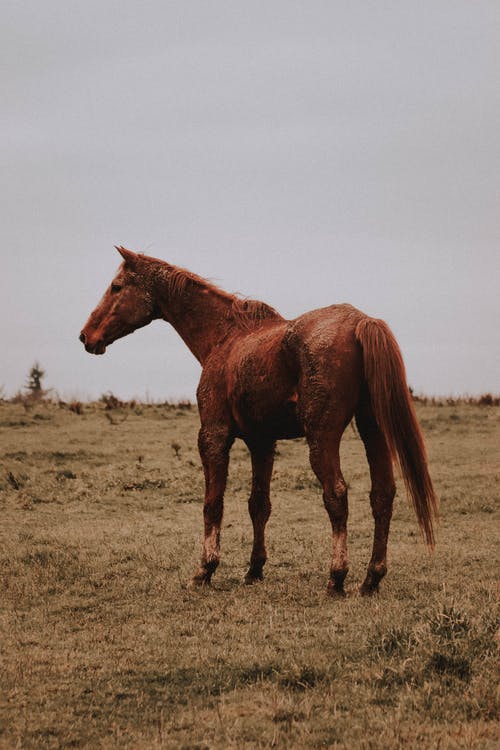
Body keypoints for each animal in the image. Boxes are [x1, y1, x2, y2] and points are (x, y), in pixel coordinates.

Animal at [80, 247, 436, 600]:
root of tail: (361, 322)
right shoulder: (262, 442)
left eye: (116, 286)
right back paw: (371, 578)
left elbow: (213, 504)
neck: (223, 338)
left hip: (322, 438)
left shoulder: (213, 436)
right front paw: (254, 569)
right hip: (373, 430)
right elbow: (259, 505)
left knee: (336, 495)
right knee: (382, 494)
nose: (86, 336)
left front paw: (205, 570)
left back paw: (336, 578)